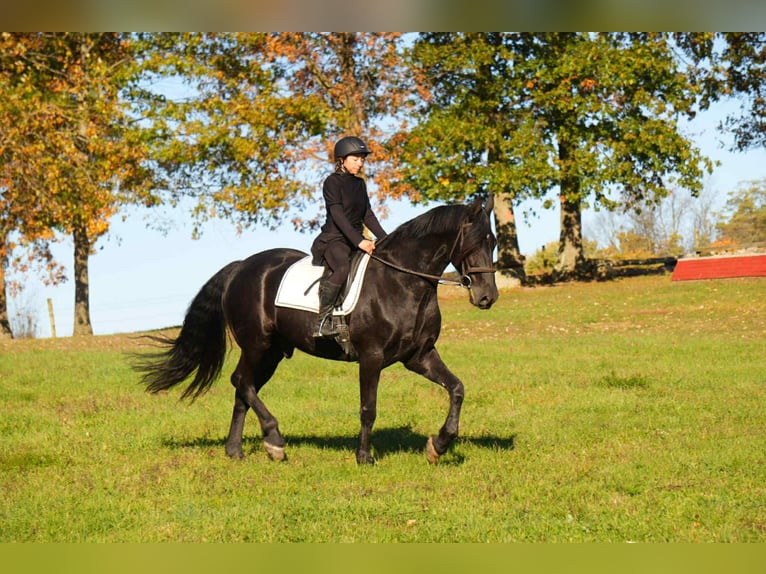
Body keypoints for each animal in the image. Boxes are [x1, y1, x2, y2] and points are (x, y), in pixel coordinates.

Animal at [135, 196, 498, 465]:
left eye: (493, 242)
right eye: (474, 242)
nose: (487, 297)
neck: (402, 281)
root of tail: (241, 267)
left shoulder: (419, 356)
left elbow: (457, 389)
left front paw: (439, 445)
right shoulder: (371, 357)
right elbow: (368, 408)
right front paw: (364, 457)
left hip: (272, 353)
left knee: (244, 388)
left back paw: (236, 450)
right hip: (257, 344)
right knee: (241, 382)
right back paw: (275, 440)